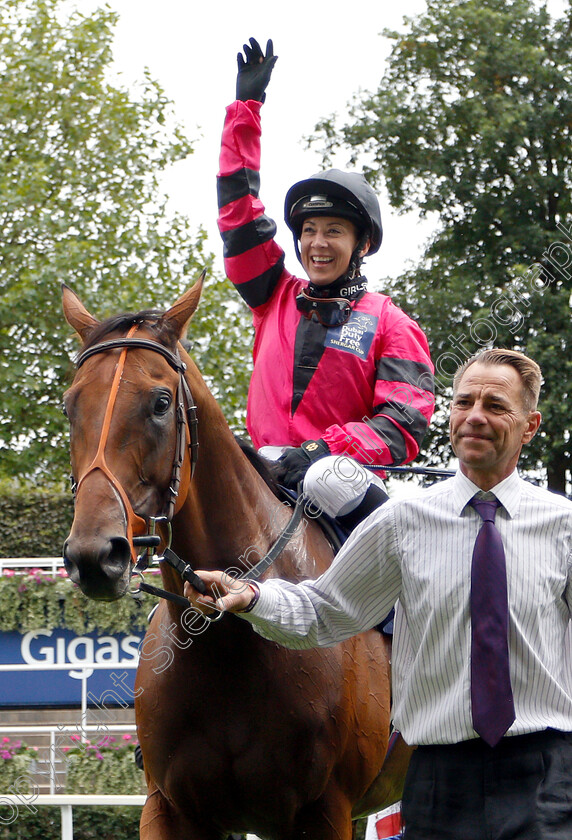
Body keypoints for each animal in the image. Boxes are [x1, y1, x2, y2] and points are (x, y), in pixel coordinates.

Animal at [61, 278, 412, 836]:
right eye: (71, 405)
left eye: (160, 402)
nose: (95, 555)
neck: (228, 641)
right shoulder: (170, 807)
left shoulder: (324, 810)